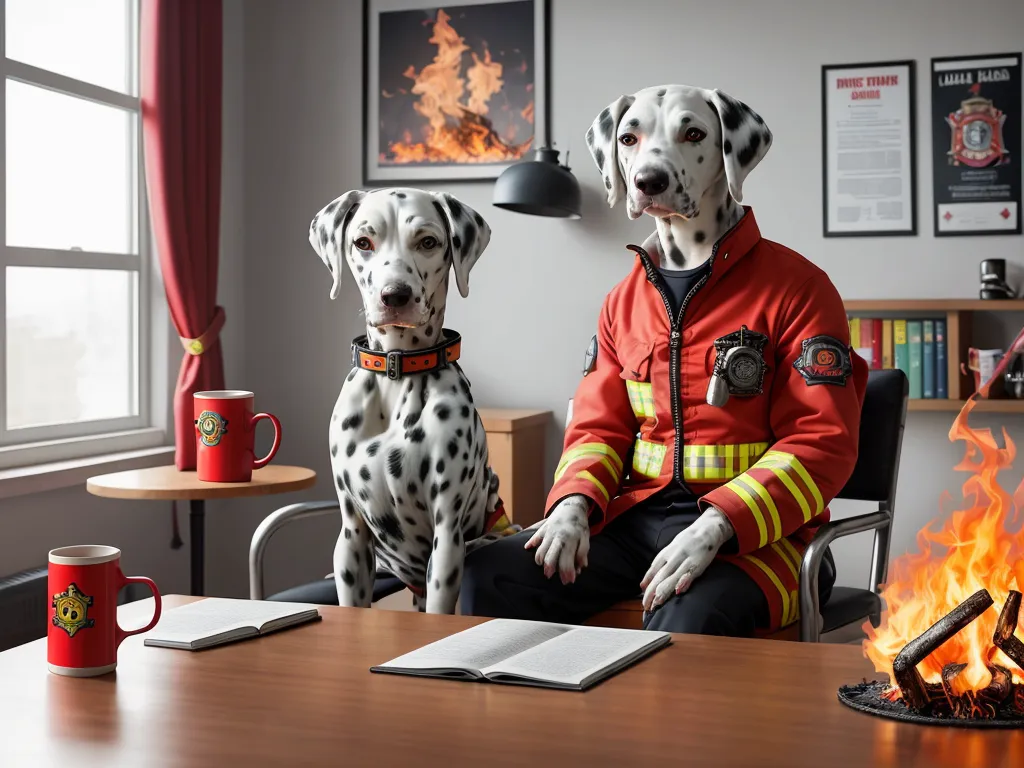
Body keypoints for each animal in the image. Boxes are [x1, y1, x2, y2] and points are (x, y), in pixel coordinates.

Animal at [301, 186, 512, 614]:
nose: (394, 296)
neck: (397, 374)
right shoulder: (352, 537)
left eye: (428, 242)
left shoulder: (447, 536)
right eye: (363, 242)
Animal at [524, 83, 770, 614]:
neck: (689, 262)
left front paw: (692, 548)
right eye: (628, 138)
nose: (648, 181)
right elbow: (597, 430)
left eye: (693, 132)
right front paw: (564, 524)